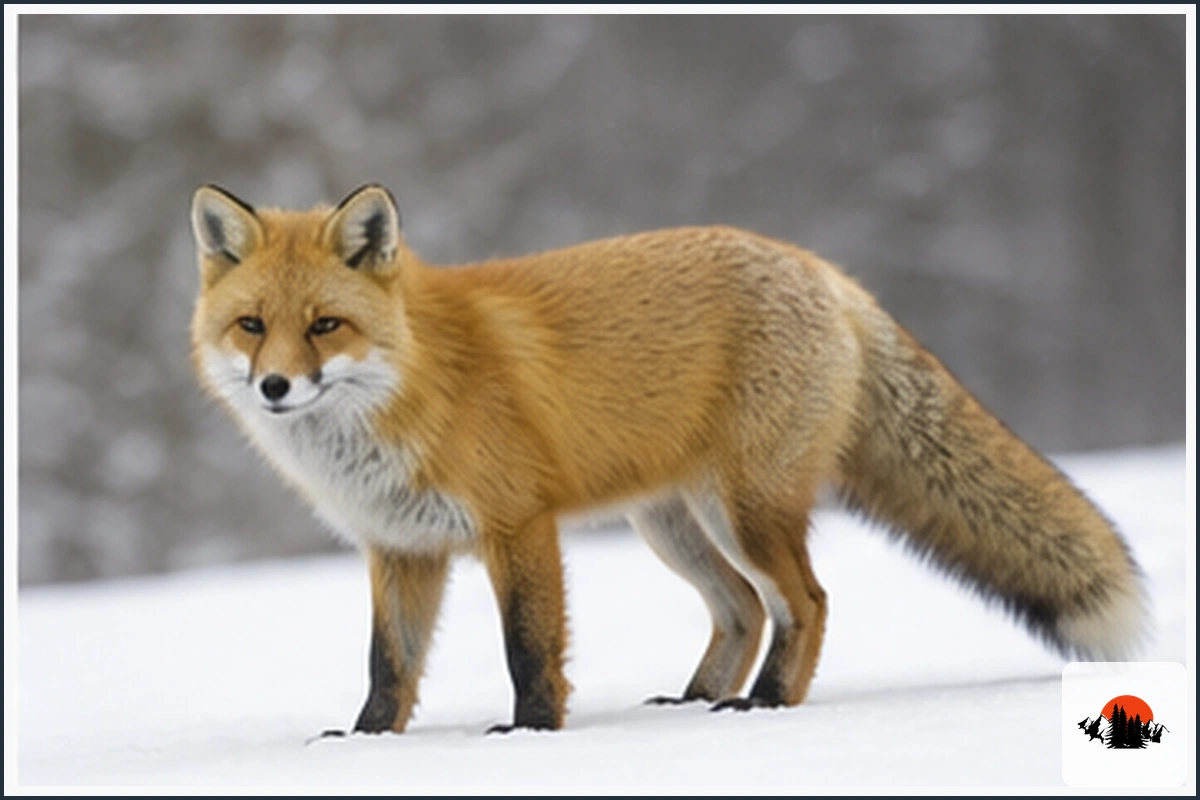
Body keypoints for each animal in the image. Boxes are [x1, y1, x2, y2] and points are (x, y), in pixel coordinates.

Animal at [189, 183, 1146, 734]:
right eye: (252, 326)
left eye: (325, 325)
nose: (274, 386)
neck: (409, 385)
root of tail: (822, 271)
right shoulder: (401, 547)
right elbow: (389, 666)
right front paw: (365, 742)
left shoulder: (518, 524)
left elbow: (528, 647)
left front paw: (531, 733)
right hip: (673, 526)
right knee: (743, 610)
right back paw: (695, 700)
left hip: (746, 511)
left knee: (804, 602)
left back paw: (766, 707)